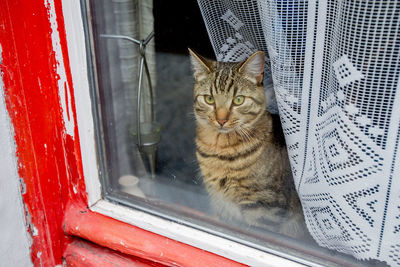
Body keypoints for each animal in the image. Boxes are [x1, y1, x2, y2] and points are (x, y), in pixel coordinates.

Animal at [189, 49, 304, 238]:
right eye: (209, 99)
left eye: (238, 100)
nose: (221, 120)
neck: (221, 149)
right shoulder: (219, 202)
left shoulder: (264, 208)